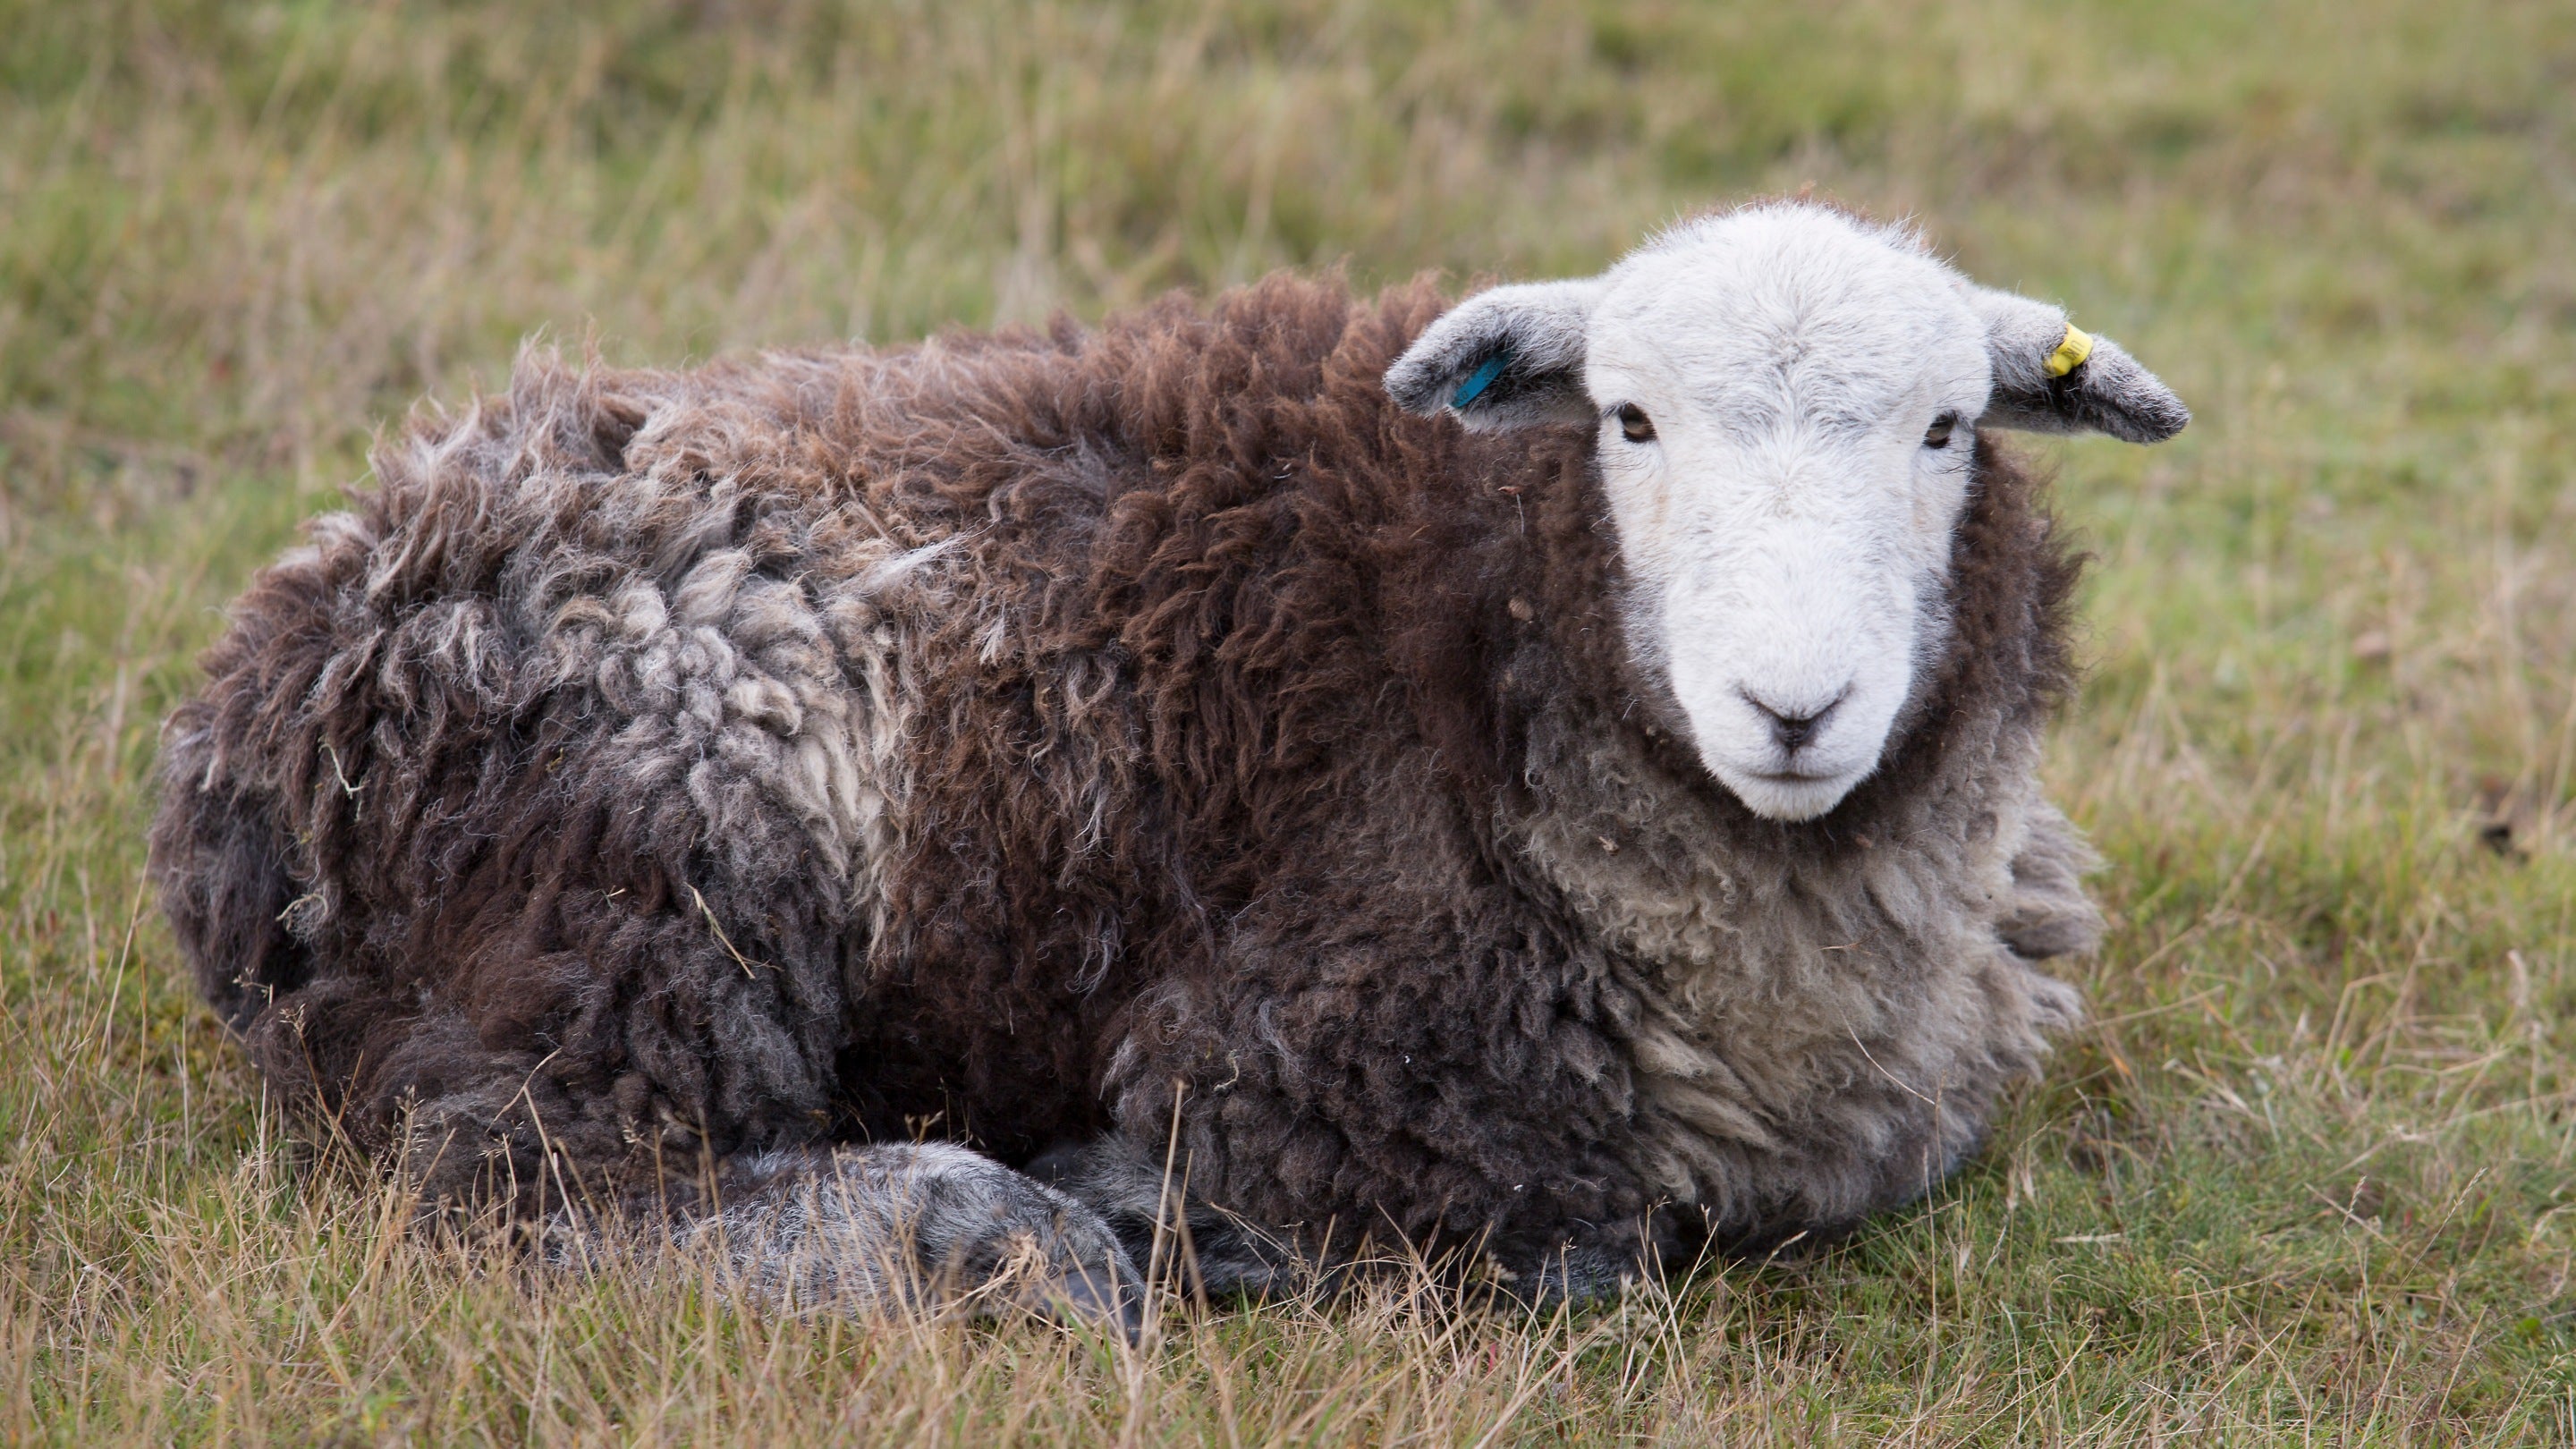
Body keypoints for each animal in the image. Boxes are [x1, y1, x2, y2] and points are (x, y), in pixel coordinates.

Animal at [149, 200, 2187, 1329]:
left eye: (1947, 431)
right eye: (1626, 420)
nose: (1793, 709)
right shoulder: (1312, 1054)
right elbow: (1564, 1247)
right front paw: (1135, 1205)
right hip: (665, 854)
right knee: (539, 1198)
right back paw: (990, 1235)